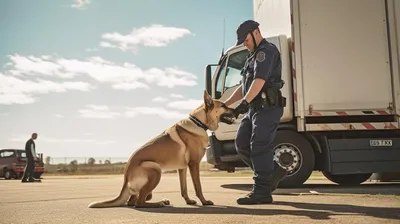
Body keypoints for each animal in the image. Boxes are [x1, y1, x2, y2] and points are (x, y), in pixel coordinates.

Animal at [89, 89, 236, 208]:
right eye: (223, 105)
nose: (237, 110)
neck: (199, 122)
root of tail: (125, 179)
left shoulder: (182, 168)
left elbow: (184, 188)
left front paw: (188, 201)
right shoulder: (194, 164)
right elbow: (198, 187)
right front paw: (204, 202)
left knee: (133, 201)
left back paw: (162, 201)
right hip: (155, 169)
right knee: (138, 203)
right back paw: (158, 203)